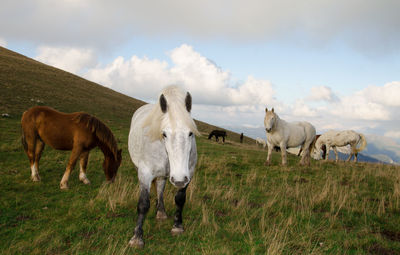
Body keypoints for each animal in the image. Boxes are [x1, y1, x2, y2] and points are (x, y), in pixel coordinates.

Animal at [128, 85, 198, 247]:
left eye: (190, 133)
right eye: (164, 134)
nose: (178, 179)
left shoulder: (188, 174)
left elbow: (180, 199)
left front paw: (177, 227)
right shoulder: (145, 174)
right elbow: (143, 204)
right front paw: (137, 238)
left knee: (160, 187)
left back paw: (161, 212)